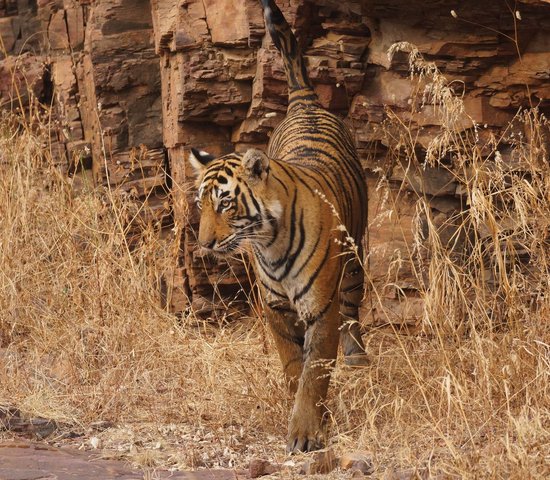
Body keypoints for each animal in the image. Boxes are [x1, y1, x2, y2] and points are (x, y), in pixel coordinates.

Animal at [190, 0, 370, 452]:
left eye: (224, 203)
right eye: (200, 205)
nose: (204, 244)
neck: (270, 245)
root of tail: (306, 102)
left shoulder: (321, 307)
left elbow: (315, 371)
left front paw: (306, 432)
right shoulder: (275, 308)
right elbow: (293, 365)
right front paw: (297, 408)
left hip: (355, 256)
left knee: (353, 309)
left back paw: (358, 357)